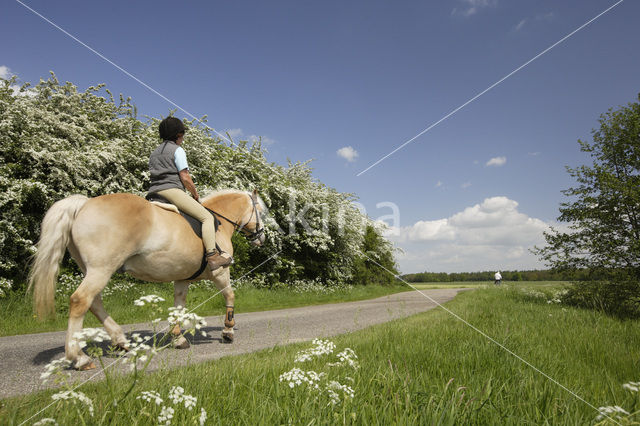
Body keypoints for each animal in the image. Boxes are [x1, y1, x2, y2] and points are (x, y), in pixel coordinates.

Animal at [28, 190, 264, 370]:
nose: (261, 237)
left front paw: (178, 339)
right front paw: (228, 331)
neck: (220, 222)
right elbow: (230, 296)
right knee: (80, 301)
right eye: (261, 212)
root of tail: (84, 204)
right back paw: (79, 358)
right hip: (101, 269)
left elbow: (178, 307)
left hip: (93, 270)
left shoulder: (182, 279)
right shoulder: (220, 273)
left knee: (94, 303)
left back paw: (121, 342)